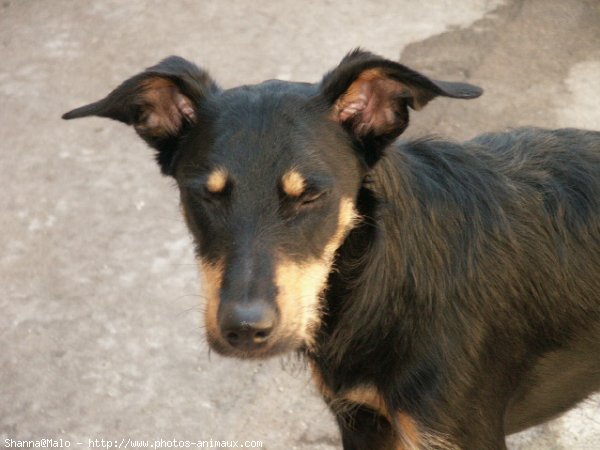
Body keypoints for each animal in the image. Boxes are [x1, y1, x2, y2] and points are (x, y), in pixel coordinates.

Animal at [62, 51, 600, 448]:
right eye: (206, 195)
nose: (245, 330)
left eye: (311, 195)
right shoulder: (361, 422)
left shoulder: (453, 428)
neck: (385, 285)